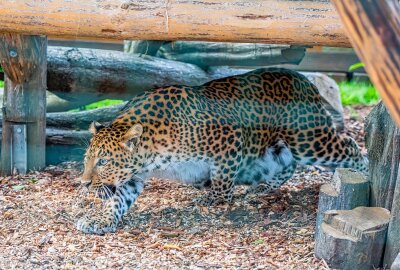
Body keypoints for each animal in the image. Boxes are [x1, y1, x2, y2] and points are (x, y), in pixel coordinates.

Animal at [76, 67, 368, 234]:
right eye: (87, 160)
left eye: (103, 162)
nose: (84, 183)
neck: (152, 149)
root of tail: (305, 80)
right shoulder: (133, 176)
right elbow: (117, 201)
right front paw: (99, 221)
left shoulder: (228, 141)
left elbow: (223, 179)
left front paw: (217, 201)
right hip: (277, 149)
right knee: (287, 165)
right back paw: (260, 189)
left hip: (308, 140)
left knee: (350, 146)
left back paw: (366, 173)